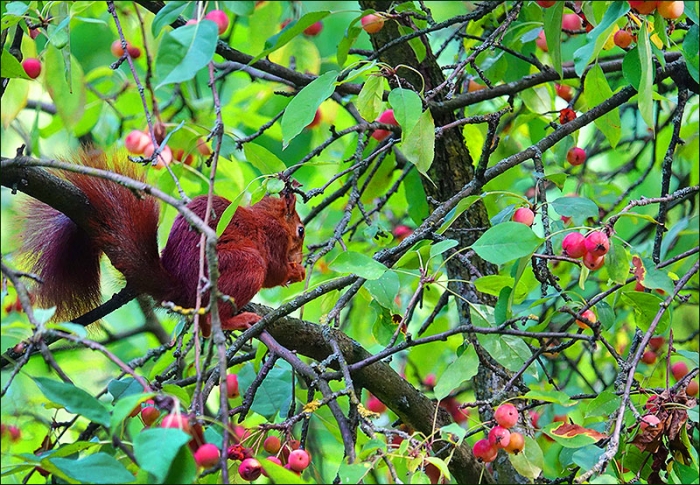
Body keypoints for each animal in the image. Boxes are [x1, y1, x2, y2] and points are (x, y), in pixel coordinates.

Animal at [17, 149, 306, 337]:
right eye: (301, 230)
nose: (301, 257)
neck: (266, 217)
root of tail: (179, 288)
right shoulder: (271, 239)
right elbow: (275, 271)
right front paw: (295, 272)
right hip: (245, 265)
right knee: (210, 321)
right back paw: (233, 321)